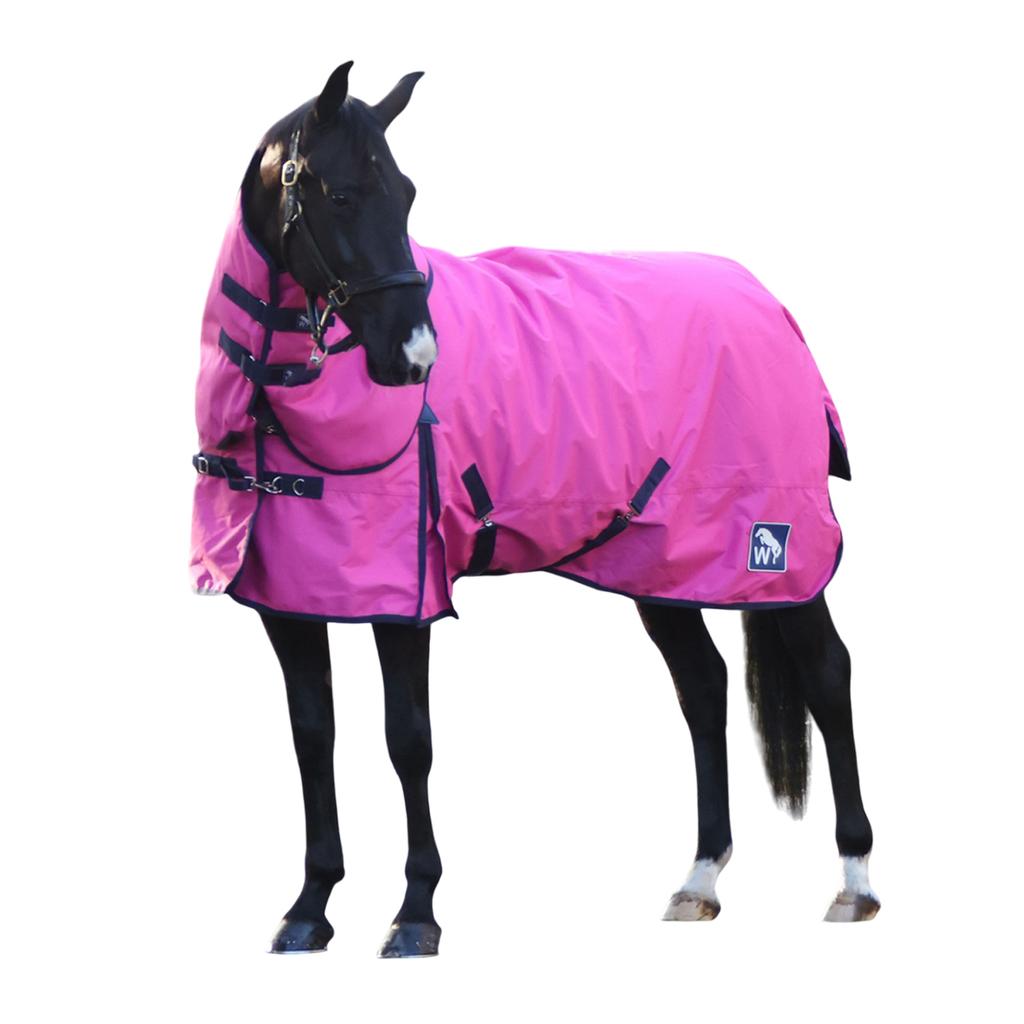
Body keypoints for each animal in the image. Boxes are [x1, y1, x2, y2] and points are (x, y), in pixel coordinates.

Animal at [190, 62, 879, 958]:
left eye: (406, 194)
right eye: (341, 195)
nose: (415, 357)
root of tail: (773, 308)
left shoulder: (406, 593)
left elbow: (408, 740)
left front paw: (415, 914)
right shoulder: (290, 602)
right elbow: (315, 735)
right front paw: (309, 911)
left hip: (778, 554)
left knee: (829, 676)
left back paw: (855, 884)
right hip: (663, 561)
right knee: (703, 686)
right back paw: (699, 880)